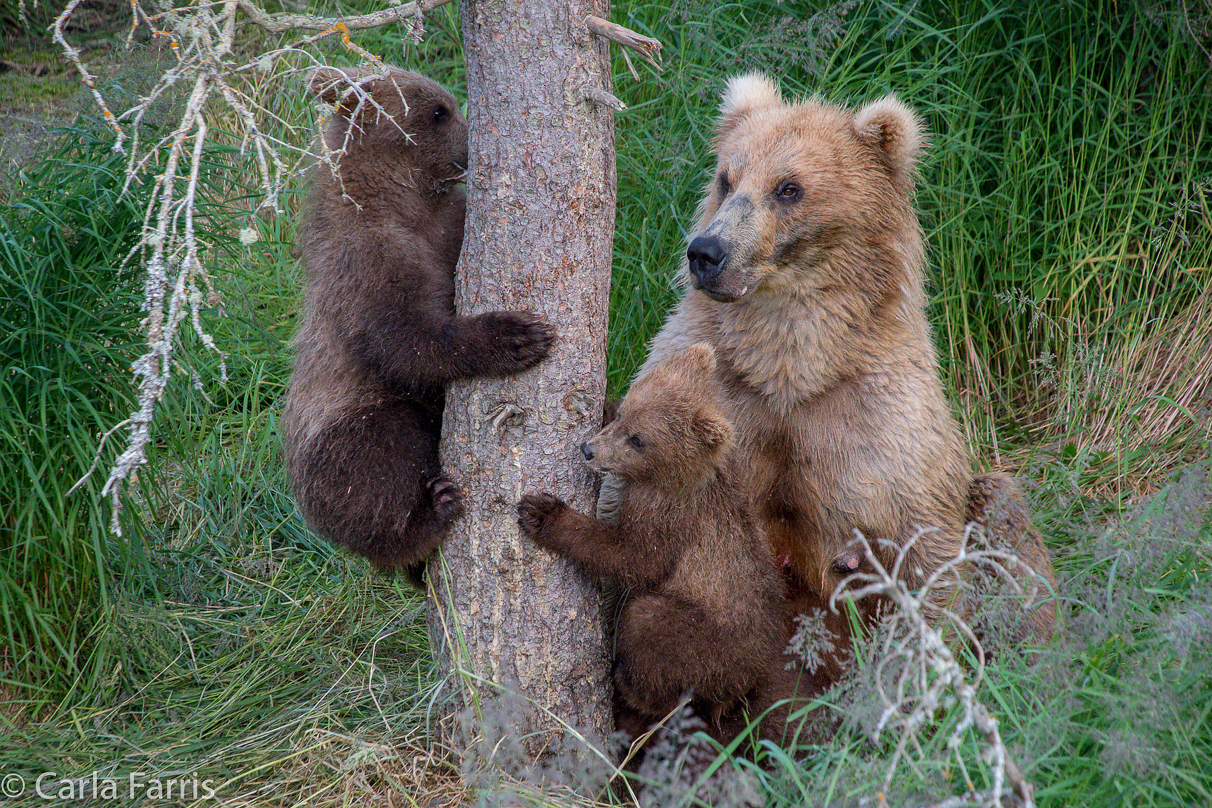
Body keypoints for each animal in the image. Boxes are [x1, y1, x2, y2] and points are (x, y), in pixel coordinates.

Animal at [283, 69, 555, 583]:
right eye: (438, 110)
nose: (472, 146)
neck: (403, 203)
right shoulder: (366, 263)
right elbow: (406, 339)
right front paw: (515, 336)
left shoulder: (448, 229)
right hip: (342, 433)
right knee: (384, 461)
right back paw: (431, 514)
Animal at [513, 344, 790, 741]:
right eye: (626, 412)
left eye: (639, 440)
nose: (588, 449)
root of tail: (747, 679)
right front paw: (603, 405)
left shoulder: (671, 518)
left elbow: (633, 557)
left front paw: (543, 512)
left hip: (712, 640)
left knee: (651, 627)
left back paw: (626, 682)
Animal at [610, 77, 1056, 644]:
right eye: (726, 178)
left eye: (788, 187)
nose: (706, 252)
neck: (790, 367)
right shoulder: (715, 391)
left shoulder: (878, 425)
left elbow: (928, 556)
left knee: (1004, 511)